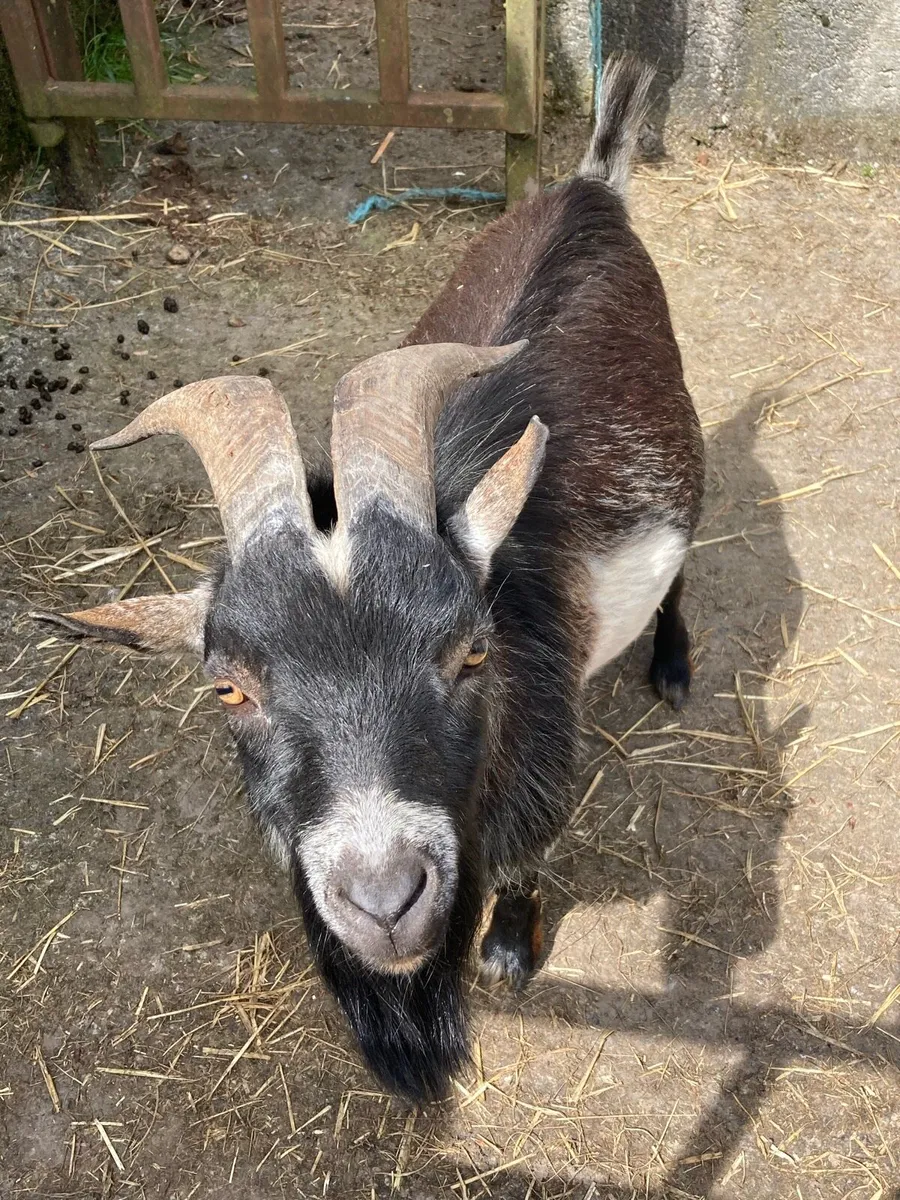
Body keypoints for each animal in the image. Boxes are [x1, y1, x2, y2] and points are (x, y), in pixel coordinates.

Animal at [34, 57, 704, 1103]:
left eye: (472, 652)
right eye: (227, 687)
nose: (386, 900)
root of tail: (593, 186)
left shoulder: (543, 760)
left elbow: (527, 857)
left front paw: (507, 952)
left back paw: (672, 665)